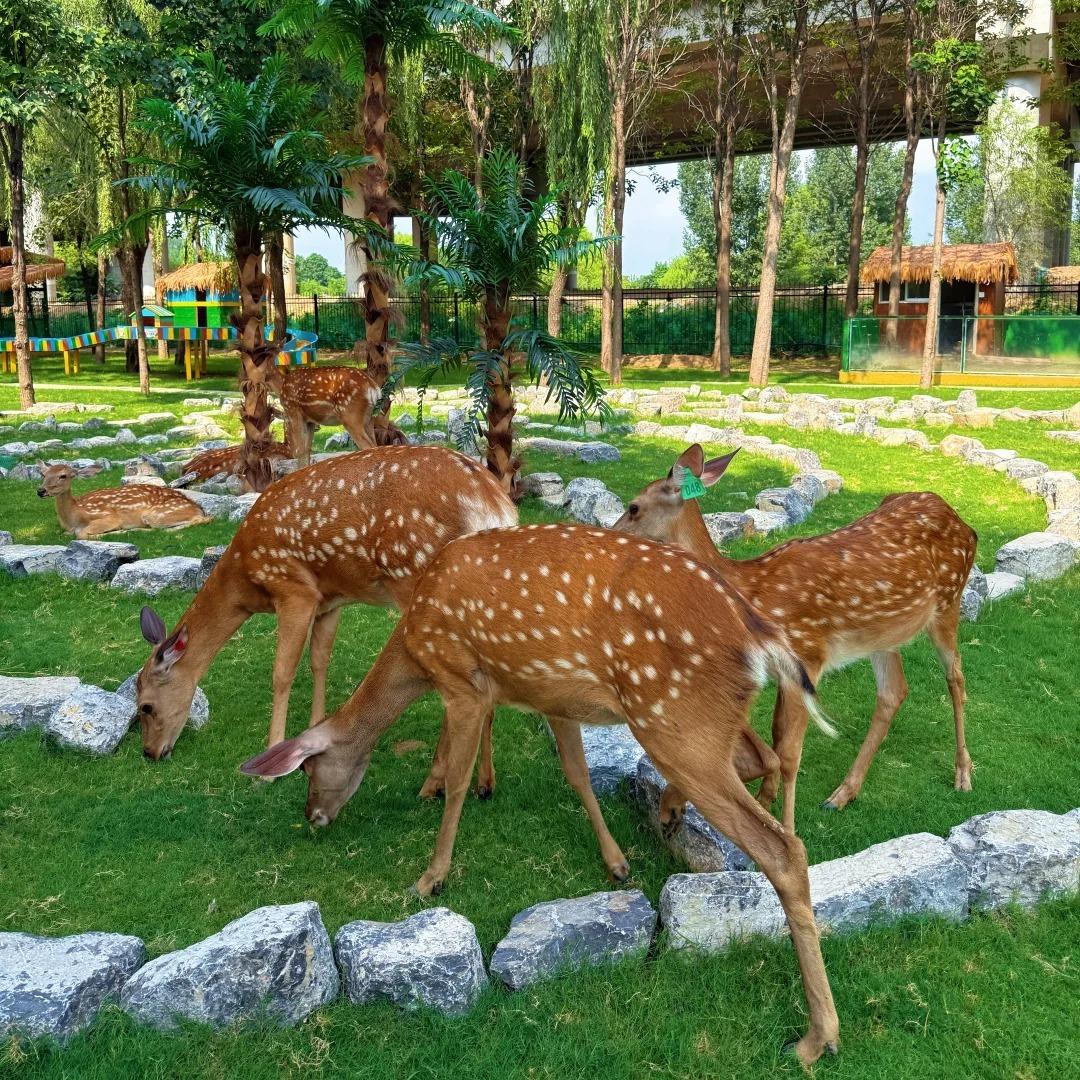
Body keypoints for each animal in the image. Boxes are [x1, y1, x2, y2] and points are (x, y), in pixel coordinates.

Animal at [37, 463, 211, 538]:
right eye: (43, 474)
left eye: (63, 475)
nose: (40, 490)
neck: (74, 517)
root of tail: (198, 507)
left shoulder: (109, 516)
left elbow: (82, 534)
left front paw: (116, 531)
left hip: (155, 515)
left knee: (203, 519)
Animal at [133, 444, 517, 797]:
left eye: (146, 707)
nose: (150, 753)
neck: (245, 578)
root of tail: (493, 504)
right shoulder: (329, 601)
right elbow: (320, 661)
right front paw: (314, 725)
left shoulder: (293, 589)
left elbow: (282, 672)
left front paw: (269, 765)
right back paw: (484, 783)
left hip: (414, 574)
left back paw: (434, 784)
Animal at [239, 525, 841, 1066]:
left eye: (309, 770)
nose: (314, 816)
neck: (414, 647)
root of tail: (758, 633)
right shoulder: (554, 697)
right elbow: (576, 773)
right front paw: (616, 863)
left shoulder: (462, 681)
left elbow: (458, 783)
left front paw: (432, 877)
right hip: (699, 720)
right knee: (761, 761)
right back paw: (671, 811)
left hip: (670, 712)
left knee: (783, 846)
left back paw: (816, 1038)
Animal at [611, 443, 977, 835]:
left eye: (634, 507)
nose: (609, 534)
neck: (752, 592)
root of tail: (965, 524)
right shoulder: (783, 673)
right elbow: (775, 737)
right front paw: (758, 800)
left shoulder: (808, 655)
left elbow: (789, 754)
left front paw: (785, 826)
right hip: (882, 634)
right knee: (894, 692)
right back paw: (842, 794)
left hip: (949, 601)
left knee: (955, 677)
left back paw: (963, 774)